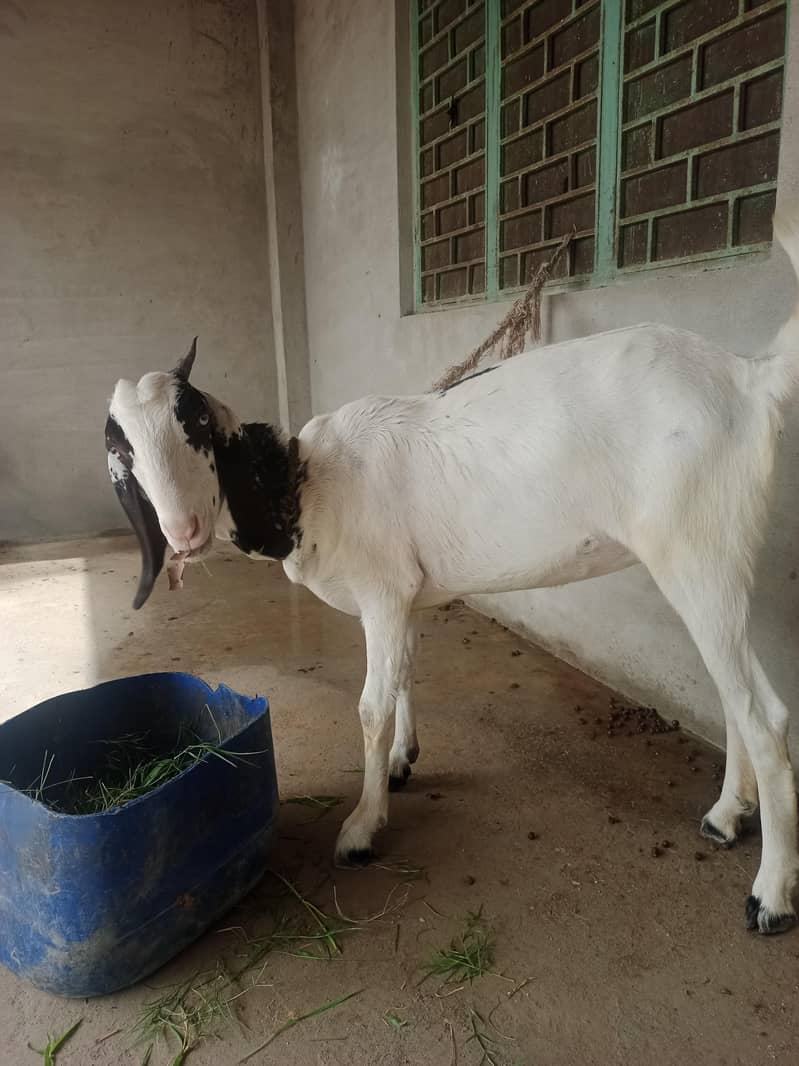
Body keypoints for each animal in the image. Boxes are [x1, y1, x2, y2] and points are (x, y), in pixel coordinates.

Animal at [105, 216, 799, 935]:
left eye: (194, 422)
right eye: (120, 447)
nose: (183, 530)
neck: (309, 484)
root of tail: (748, 379)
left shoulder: (382, 593)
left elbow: (371, 707)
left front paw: (362, 827)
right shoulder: (407, 595)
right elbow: (406, 676)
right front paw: (402, 763)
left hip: (697, 551)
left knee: (765, 715)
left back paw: (770, 896)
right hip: (711, 565)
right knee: (732, 695)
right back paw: (726, 817)